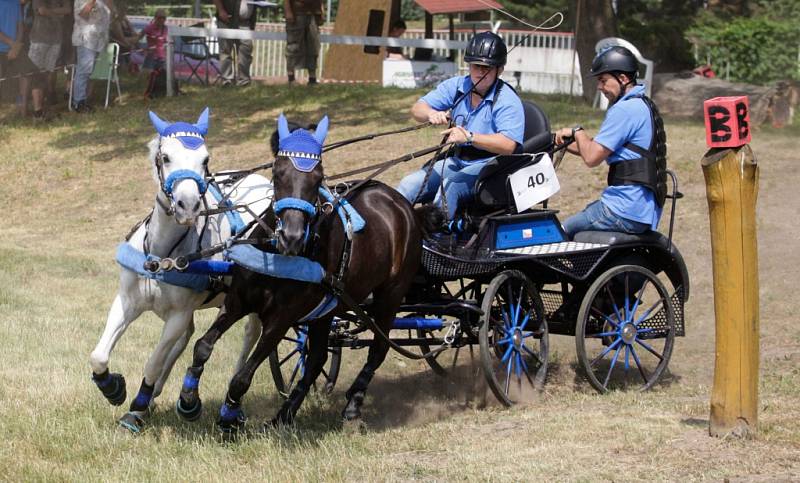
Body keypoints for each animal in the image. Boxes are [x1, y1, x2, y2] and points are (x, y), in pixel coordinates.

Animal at [91, 109, 272, 434]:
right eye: (165, 157)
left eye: (205, 159)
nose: (187, 205)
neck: (160, 255)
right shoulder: (127, 301)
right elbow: (99, 355)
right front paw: (113, 388)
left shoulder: (177, 315)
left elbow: (153, 361)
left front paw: (137, 405)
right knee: (186, 340)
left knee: (250, 334)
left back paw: (229, 405)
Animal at [177, 116, 424, 432]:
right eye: (277, 173)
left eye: (318, 178)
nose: (292, 237)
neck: (279, 256)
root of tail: (400, 203)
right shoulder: (237, 302)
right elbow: (203, 346)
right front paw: (188, 400)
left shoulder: (280, 319)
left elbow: (243, 376)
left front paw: (228, 419)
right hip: (327, 308)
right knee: (317, 357)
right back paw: (284, 415)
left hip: (390, 296)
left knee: (378, 349)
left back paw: (352, 407)